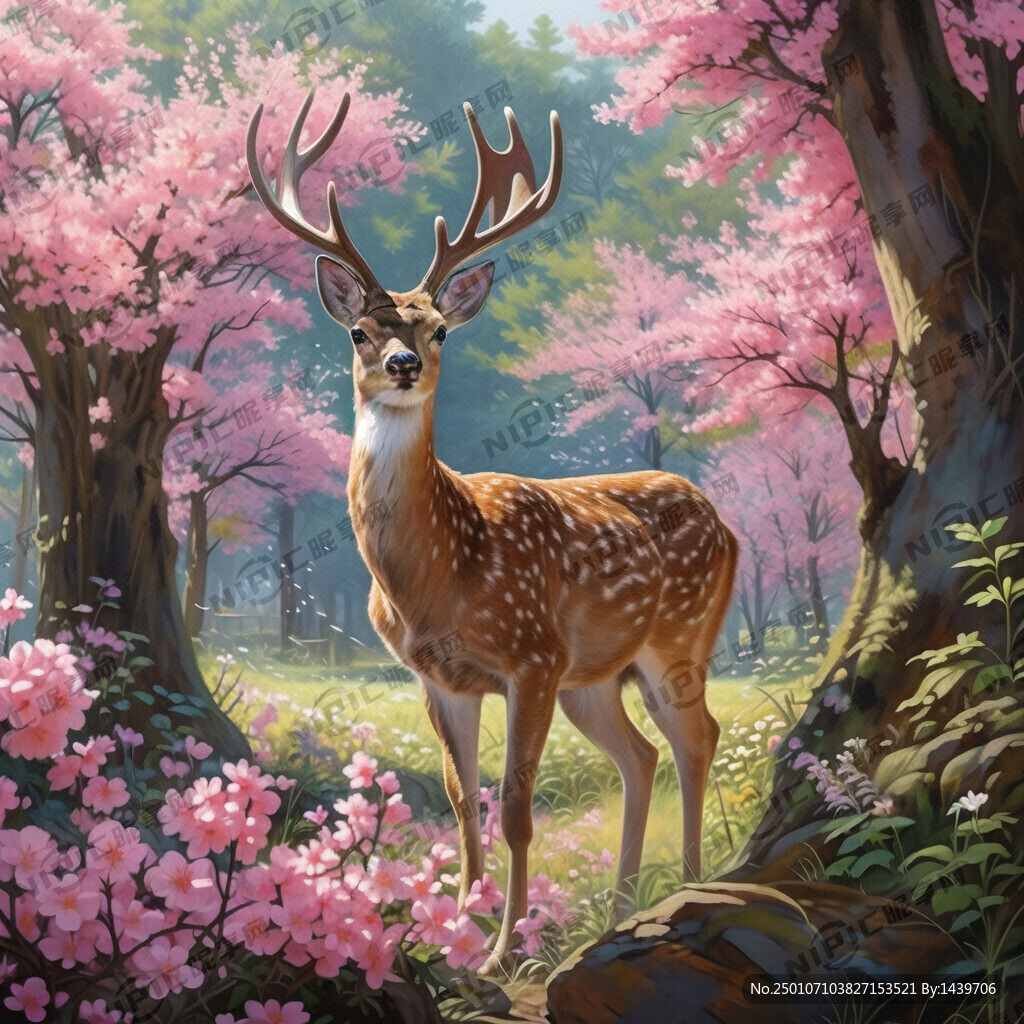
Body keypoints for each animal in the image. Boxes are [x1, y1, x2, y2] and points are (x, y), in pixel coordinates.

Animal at [247, 90, 738, 974]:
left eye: (438, 328)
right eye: (360, 331)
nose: (404, 363)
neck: (442, 574)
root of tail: (725, 523)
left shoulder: (531, 657)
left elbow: (514, 805)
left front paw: (505, 951)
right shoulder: (437, 676)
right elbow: (460, 801)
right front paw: (453, 935)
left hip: (679, 636)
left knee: (696, 736)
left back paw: (688, 880)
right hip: (595, 677)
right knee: (642, 754)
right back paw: (620, 906)